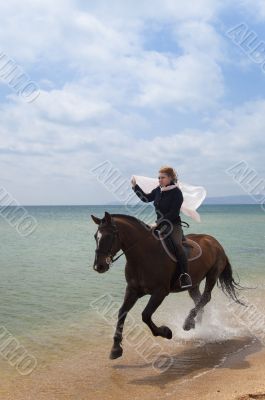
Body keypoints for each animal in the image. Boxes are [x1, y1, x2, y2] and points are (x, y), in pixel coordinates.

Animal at [89, 211, 242, 360]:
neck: (143, 255)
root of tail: (214, 241)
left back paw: (188, 323)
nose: (99, 266)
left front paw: (166, 332)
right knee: (199, 301)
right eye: (96, 236)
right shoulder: (132, 290)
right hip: (194, 284)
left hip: (212, 274)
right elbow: (122, 313)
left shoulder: (160, 292)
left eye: (109, 236)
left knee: (206, 297)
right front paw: (115, 349)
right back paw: (196, 326)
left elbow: (145, 315)